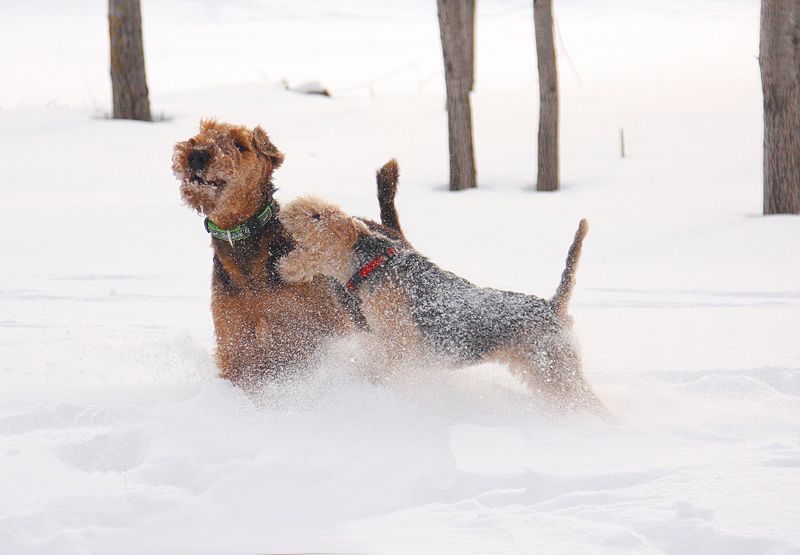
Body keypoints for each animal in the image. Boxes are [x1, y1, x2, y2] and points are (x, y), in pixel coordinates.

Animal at [173, 120, 404, 390]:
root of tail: (390, 230)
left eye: (240, 145)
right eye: (201, 133)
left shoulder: (319, 335)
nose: (197, 155)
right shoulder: (236, 348)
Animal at [278, 194, 604, 412]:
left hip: (553, 370)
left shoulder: (397, 347)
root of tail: (552, 306)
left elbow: (378, 370)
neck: (374, 265)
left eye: (317, 216)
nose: (282, 210)